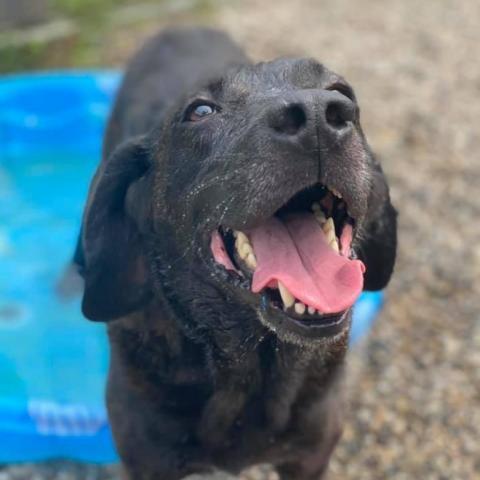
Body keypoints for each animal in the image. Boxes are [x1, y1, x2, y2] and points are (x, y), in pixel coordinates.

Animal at [73, 27, 398, 480]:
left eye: (340, 90)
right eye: (200, 111)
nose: (319, 115)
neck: (252, 367)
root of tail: (180, 28)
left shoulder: (310, 456)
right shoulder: (149, 461)